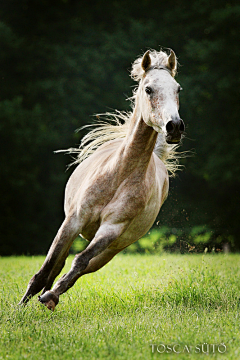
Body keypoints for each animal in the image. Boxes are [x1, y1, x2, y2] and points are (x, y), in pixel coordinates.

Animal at [19, 49, 185, 310]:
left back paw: (50, 297)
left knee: (78, 269)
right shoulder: (73, 221)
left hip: (110, 251)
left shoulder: (111, 229)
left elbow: (79, 261)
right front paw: (18, 309)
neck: (119, 176)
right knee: (56, 266)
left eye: (177, 89)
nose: (174, 126)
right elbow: (45, 268)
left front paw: (49, 297)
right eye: (148, 89)